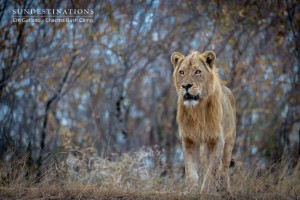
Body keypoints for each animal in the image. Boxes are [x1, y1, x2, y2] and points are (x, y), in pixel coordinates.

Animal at [170, 50, 236, 193]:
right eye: (181, 72)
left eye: (197, 72)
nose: (186, 86)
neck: (197, 110)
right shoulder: (189, 139)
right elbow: (190, 171)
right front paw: (190, 191)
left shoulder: (217, 139)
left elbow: (211, 171)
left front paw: (204, 192)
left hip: (229, 142)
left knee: (224, 169)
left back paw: (225, 190)